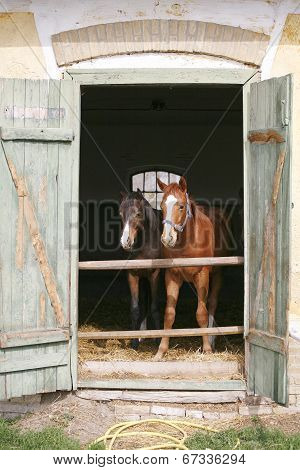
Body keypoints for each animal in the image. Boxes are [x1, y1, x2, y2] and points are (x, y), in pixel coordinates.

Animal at [119, 190, 162, 348]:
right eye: (120, 213)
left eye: (138, 214)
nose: (125, 242)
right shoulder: (132, 274)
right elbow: (135, 308)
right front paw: (134, 341)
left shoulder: (154, 275)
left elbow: (155, 307)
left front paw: (158, 339)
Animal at [154, 177, 214, 360]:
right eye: (162, 206)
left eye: (181, 206)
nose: (167, 238)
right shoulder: (172, 276)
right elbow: (169, 314)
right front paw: (161, 350)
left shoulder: (202, 275)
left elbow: (201, 313)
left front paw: (207, 349)